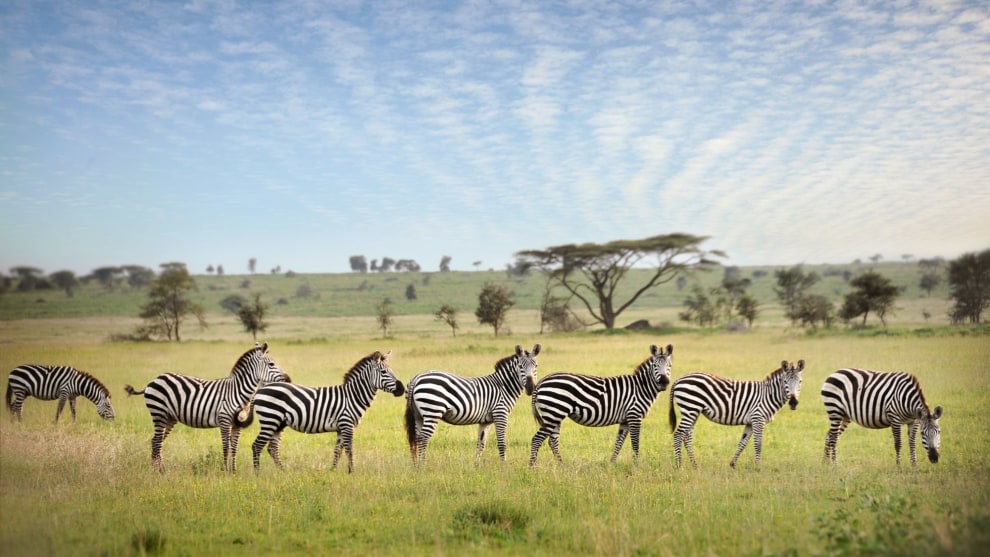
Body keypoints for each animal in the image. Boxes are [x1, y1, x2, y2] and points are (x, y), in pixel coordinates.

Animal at [123, 342, 290, 473]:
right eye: (271, 364)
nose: (288, 379)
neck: (237, 391)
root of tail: (153, 380)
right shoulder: (224, 420)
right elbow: (226, 447)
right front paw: (225, 471)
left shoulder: (238, 424)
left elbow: (234, 447)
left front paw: (234, 472)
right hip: (159, 413)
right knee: (157, 441)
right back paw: (159, 471)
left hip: (169, 418)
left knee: (155, 441)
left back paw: (158, 469)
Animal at [238, 350, 404, 473]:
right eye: (383, 372)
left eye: (391, 371)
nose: (401, 389)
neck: (352, 396)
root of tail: (260, 390)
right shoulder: (347, 424)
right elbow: (349, 449)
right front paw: (352, 471)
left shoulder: (341, 427)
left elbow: (338, 451)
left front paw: (333, 470)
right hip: (270, 419)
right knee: (257, 446)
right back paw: (257, 474)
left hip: (278, 423)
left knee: (272, 448)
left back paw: (283, 471)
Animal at [404, 344, 541, 464]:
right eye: (520, 366)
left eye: (536, 366)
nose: (530, 388)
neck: (503, 386)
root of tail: (417, 377)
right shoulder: (500, 414)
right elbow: (502, 443)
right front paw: (504, 466)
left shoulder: (485, 421)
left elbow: (481, 444)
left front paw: (476, 466)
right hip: (432, 411)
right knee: (423, 438)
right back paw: (423, 465)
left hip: (418, 415)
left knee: (416, 439)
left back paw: (417, 466)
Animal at [528, 344, 674, 466]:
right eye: (655, 366)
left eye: (670, 366)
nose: (664, 381)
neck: (641, 387)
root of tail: (541, 382)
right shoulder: (634, 415)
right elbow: (635, 442)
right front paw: (636, 465)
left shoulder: (625, 420)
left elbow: (619, 442)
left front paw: (612, 463)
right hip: (554, 413)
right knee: (537, 439)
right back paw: (532, 467)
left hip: (555, 416)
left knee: (552, 441)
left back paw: (561, 465)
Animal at [669, 359, 805, 468]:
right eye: (785, 381)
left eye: (800, 382)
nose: (793, 402)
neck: (768, 395)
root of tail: (679, 379)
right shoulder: (758, 419)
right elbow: (758, 444)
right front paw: (758, 468)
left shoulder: (750, 422)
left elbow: (742, 443)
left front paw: (733, 464)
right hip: (690, 408)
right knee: (678, 435)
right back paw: (679, 465)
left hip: (693, 411)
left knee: (687, 436)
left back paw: (695, 465)